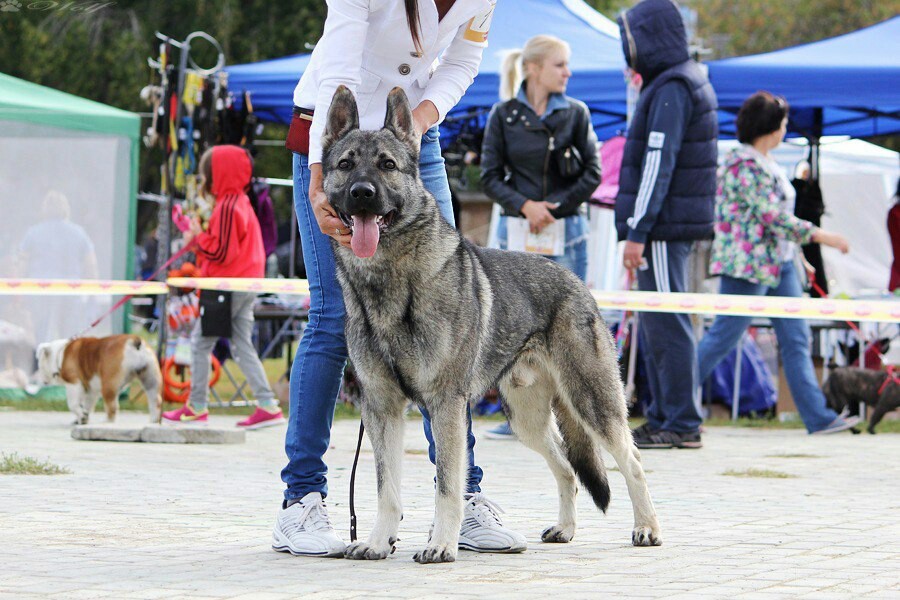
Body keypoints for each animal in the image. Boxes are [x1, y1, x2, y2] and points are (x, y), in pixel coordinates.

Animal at [324, 86, 660, 564]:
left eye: (387, 165)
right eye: (346, 164)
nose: (362, 193)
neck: (391, 284)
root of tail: (576, 280)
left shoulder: (445, 406)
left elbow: (448, 485)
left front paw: (441, 545)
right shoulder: (382, 408)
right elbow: (387, 489)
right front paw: (377, 542)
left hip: (592, 403)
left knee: (631, 461)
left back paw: (647, 528)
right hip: (525, 420)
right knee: (566, 468)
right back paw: (566, 529)